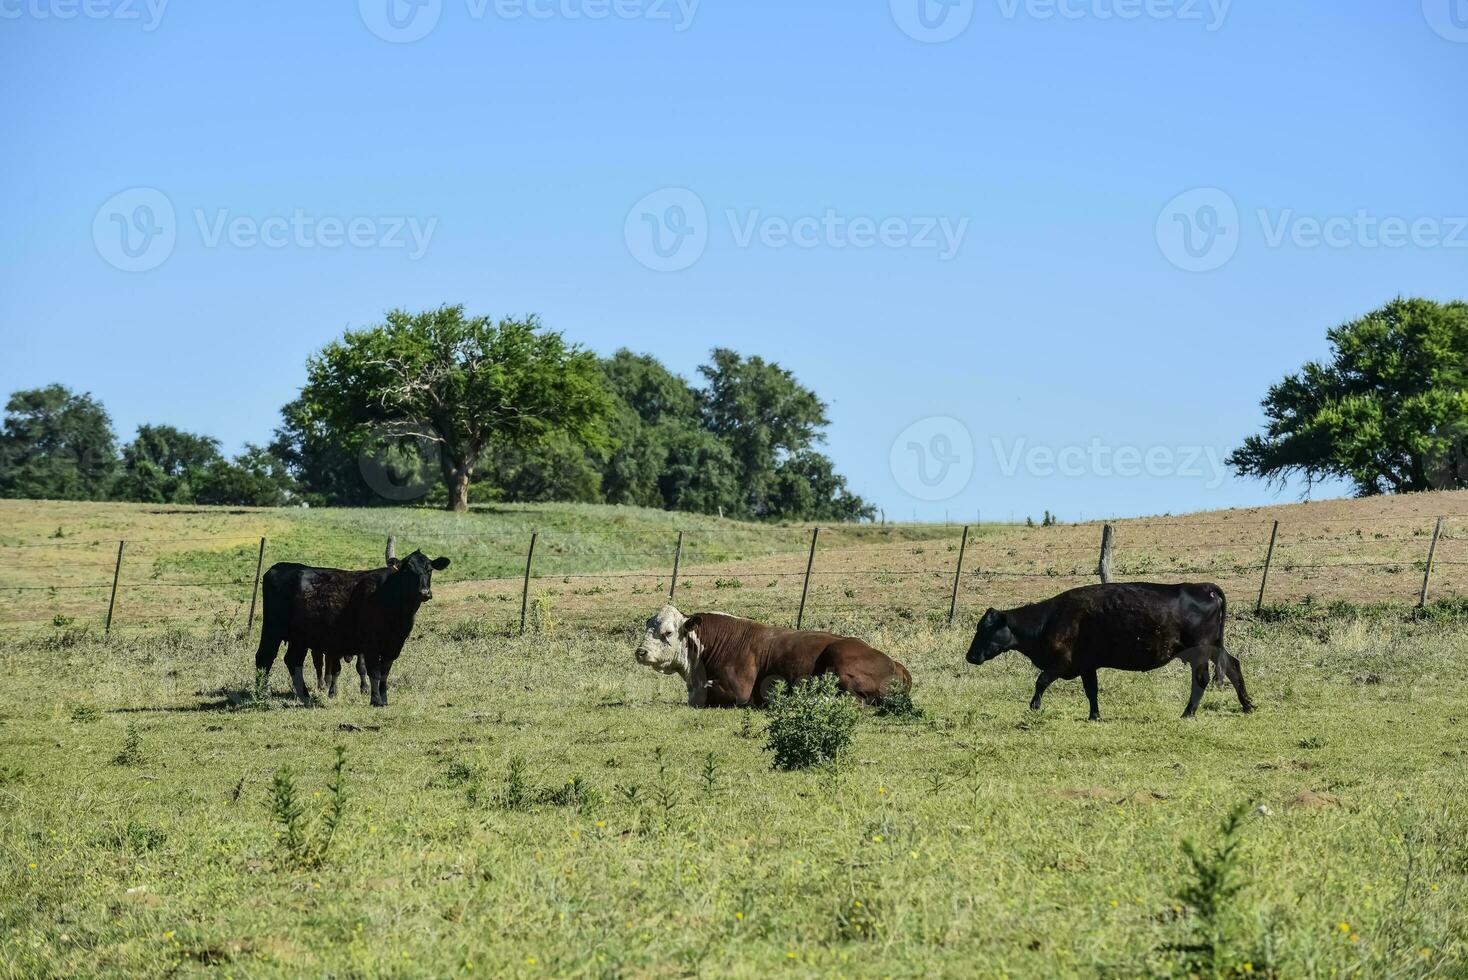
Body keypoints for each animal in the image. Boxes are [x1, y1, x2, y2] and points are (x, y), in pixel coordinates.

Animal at [252, 551, 449, 704]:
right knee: (264, 657)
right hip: (272, 628)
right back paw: (260, 694)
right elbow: (374, 671)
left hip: (300, 637)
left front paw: (384, 699)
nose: (424, 592)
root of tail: (279, 567)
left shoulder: (394, 645)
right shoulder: (370, 644)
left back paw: (306, 698)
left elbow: (385, 672)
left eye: (429, 569)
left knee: (293, 660)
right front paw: (375, 700)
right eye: (408, 571)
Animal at [634, 601, 910, 707]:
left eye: (668, 632)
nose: (641, 651)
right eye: (648, 627)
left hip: (840, 661)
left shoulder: (738, 690)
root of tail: (893, 662)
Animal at [963, 580, 1250, 718]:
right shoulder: (1087, 665)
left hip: (1199, 651)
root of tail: (1202, 587)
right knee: (1233, 666)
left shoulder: (1062, 662)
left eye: (985, 629)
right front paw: (1094, 715)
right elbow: (1092, 691)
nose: (970, 656)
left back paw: (1188, 713)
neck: (1049, 619)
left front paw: (1034, 707)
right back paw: (1247, 705)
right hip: (1214, 648)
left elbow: (1041, 680)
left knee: (1201, 679)